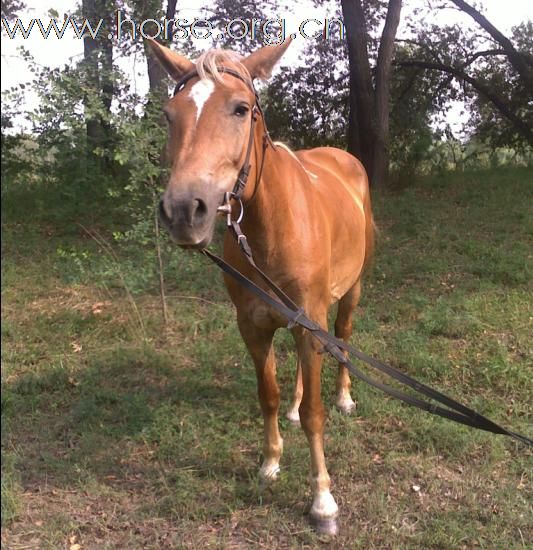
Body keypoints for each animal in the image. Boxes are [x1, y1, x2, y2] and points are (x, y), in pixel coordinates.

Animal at [148, 40, 376, 540]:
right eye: (170, 115)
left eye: (241, 108)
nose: (184, 210)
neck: (272, 225)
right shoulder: (253, 326)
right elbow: (267, 394)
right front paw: (270, 462)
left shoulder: (310, 322)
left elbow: (315, 415)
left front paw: (323, 502)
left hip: (350, 292)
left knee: (344, 337)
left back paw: (345, 396)